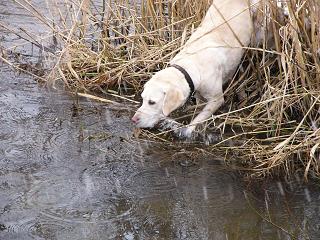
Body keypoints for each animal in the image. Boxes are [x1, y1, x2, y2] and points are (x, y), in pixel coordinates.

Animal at [131, 0, 258, 136]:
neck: (191, 65)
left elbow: (199, 118)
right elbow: (199, 110)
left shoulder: (216, 99)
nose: (134, 119)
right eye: (142, 98)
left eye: (152, 102)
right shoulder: (199, 95)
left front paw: (187, 132)